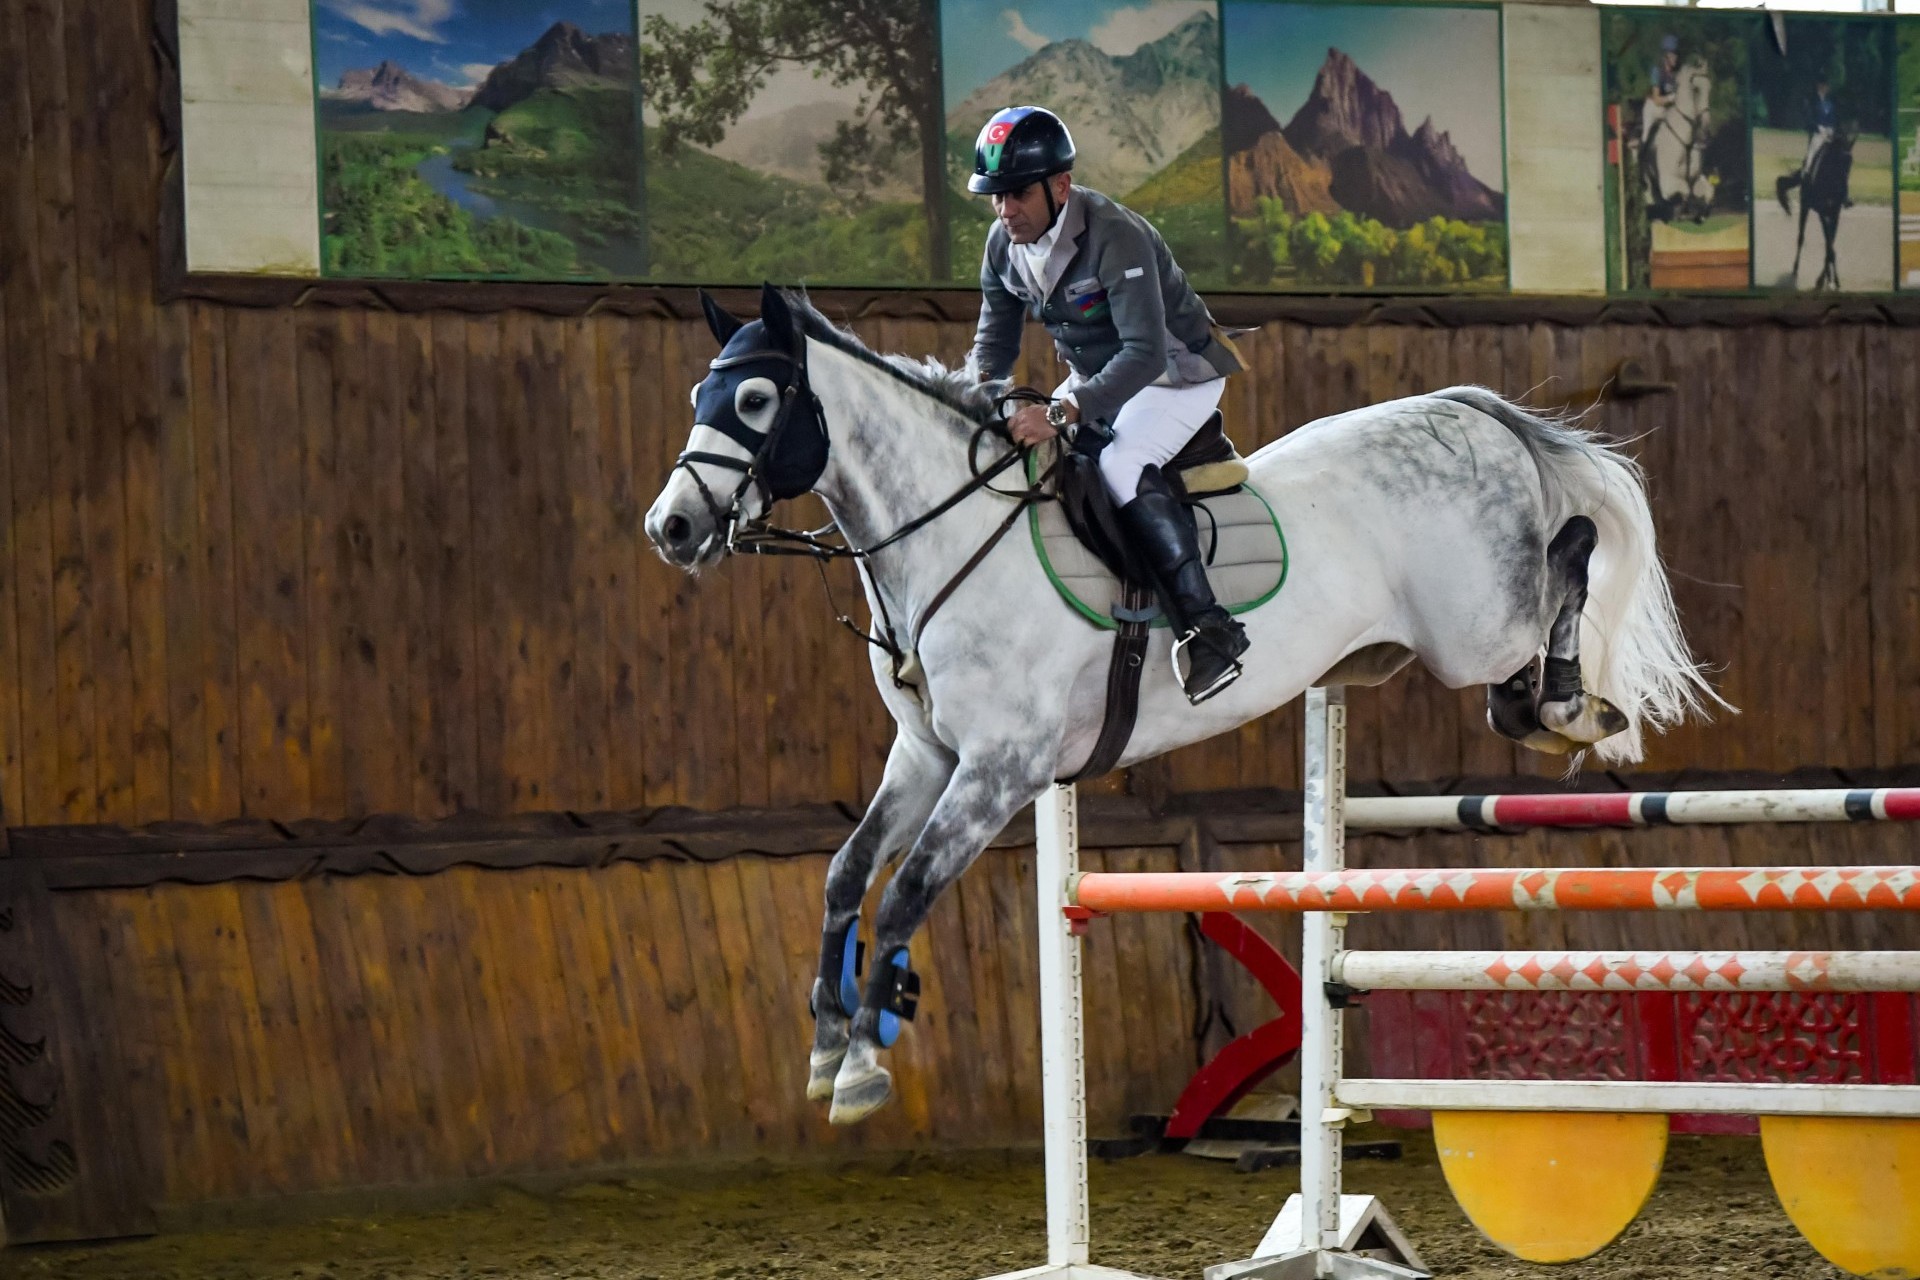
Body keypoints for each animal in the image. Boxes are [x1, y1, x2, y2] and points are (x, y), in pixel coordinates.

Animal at [641, 287, 1712, 1120]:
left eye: (754, 397)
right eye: (696, 393)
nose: (671, 528)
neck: (943, 538)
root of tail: (1466, 409)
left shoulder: (999, 771)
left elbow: (905, 891)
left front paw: (864, 1065)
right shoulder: (927, 756)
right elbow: (846, 874)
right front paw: (826, 1049)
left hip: (1472, 628)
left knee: (1571, 552)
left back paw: (1569, 707)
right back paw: (1543, 704)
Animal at [1643, 55, 1720, 222]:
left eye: (1710, 88)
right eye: (1696, 89)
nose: (1705, 128)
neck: (1686, 143)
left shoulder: (1695, 178)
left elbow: (1707, 190)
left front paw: (1702, 213)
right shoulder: (1667, 182)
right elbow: (1685, 190)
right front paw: (1684, 211)